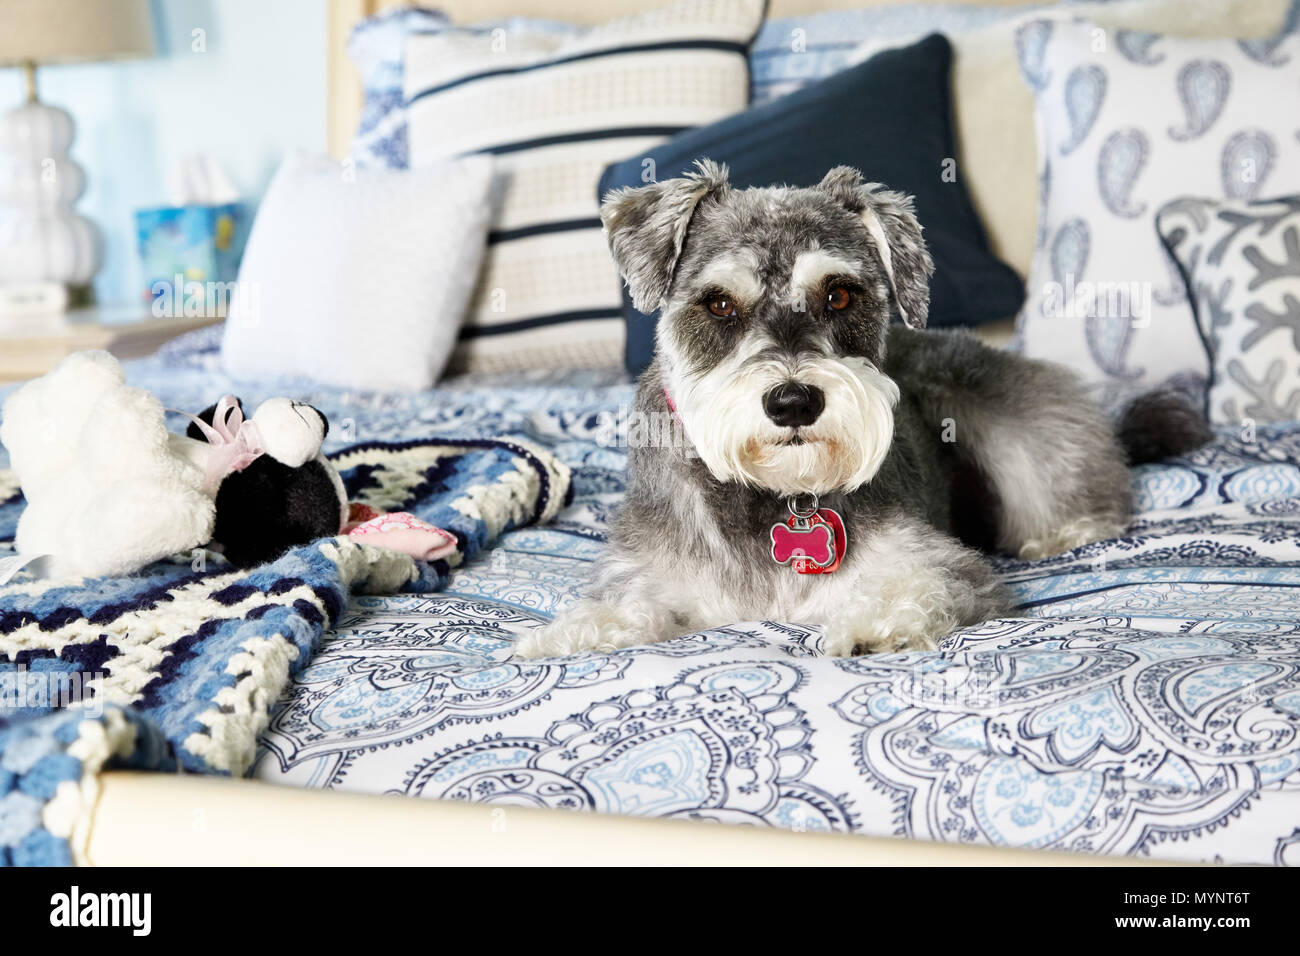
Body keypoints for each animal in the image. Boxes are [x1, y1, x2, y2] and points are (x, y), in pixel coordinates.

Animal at [514, 162, 1206, 658]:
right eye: (718, 304)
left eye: (840, 295)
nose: (793, 402)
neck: (776, 498)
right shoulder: (650, 574)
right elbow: (628, 606)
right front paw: (565, 635)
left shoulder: (944, 566)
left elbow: (921, 585)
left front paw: (878, 622)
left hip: (1000, 413)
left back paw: (1069, 529)